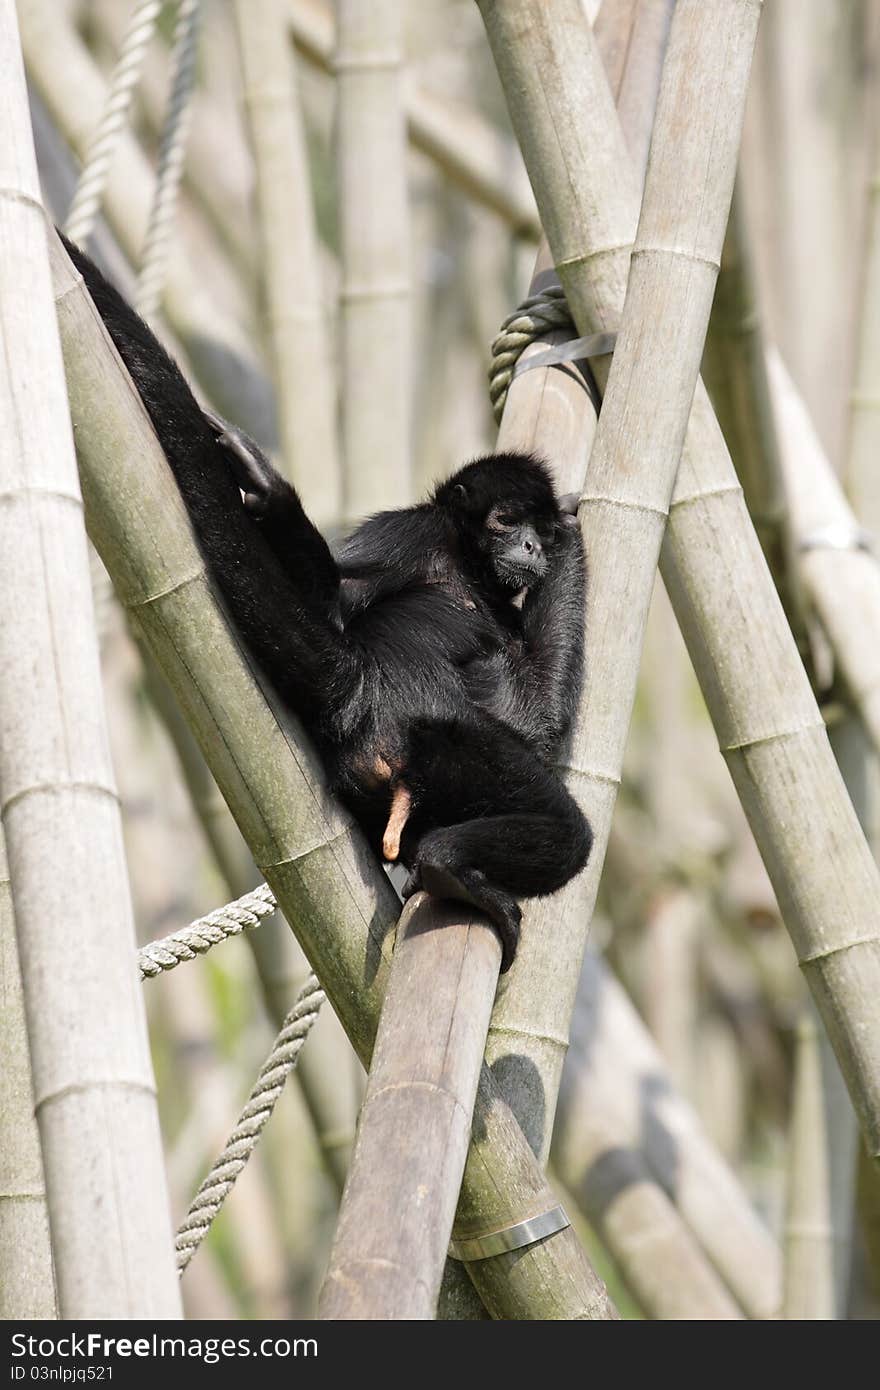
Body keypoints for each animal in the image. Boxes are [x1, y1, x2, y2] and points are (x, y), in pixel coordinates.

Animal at [63, 236, 589, 967]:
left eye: (533, 527)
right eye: (508, 521)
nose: (537, 545)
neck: (464, 564)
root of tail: (364, 687)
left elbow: (537, 711)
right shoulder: (410, 532)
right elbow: (531, 721)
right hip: (445, 738)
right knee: (566, 829)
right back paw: (451, 866)